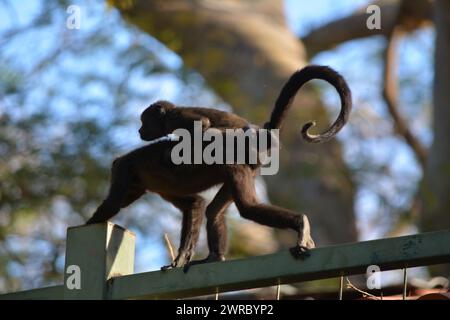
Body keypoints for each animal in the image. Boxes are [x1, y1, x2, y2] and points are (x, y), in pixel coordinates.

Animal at [85, 66, 352, 272]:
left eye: (143, 122)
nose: (140, 130)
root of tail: (260, 135)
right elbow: (195, 204)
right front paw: (180, 259)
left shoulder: (126, 168)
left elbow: (113, 204)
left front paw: (90, 223)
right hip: (245, 169)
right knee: (214, 210)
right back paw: (215, 256)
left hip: (237, 164)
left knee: (248, 207)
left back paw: (300, 223)